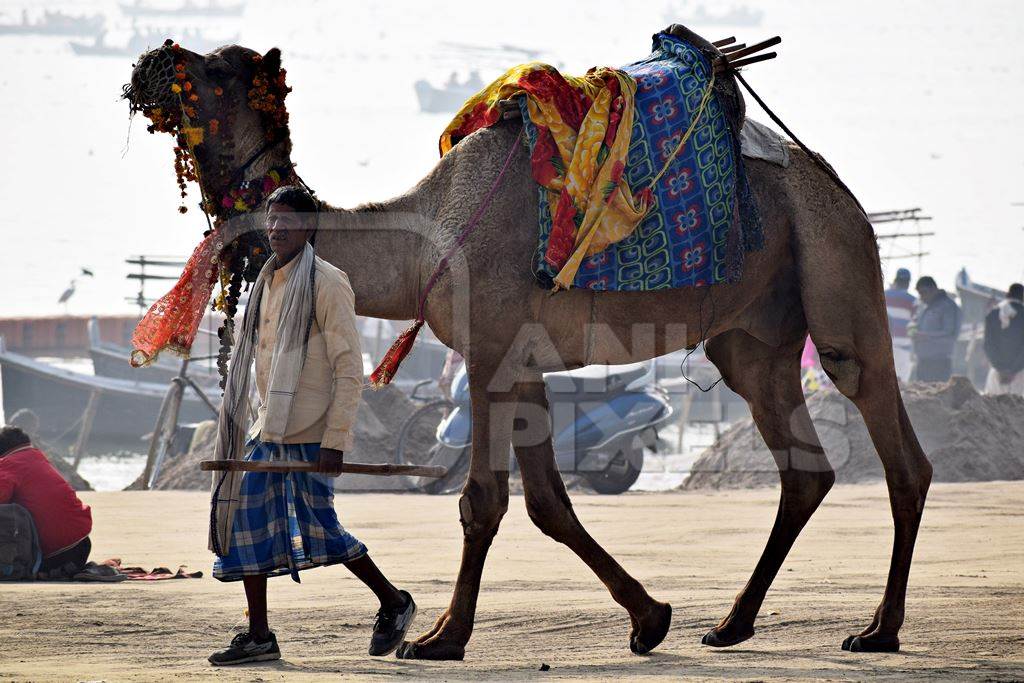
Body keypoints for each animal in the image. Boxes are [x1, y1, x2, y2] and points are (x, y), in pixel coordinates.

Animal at [123, 29, 933, 659]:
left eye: (217, 71)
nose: (154, 59)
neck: (423, 237)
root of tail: (837, 184)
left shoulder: (489, 350)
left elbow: (482, 498)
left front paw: (440, 638)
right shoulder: (525, 363)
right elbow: (549, 503)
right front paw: (650, 618)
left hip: (835, 262)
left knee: (894, 442)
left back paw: (880, 629)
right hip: (752, 337)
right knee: (803, 464)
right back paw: (732, 623)